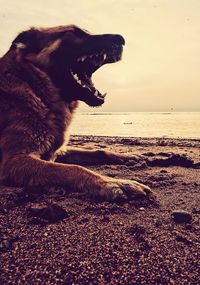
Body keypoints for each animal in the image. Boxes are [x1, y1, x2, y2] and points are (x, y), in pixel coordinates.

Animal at [0, 26, 152, 200]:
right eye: (73, 32)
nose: (122, 39)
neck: (35, 87)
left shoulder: (58, 150)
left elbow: (99, 151)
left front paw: (127, 156)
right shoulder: (14, 160)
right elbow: (73, 168)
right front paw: (115, 183)